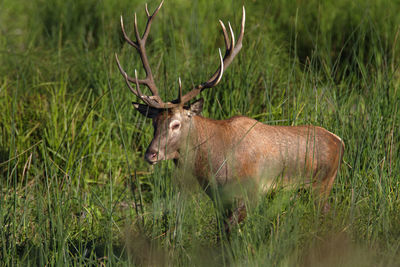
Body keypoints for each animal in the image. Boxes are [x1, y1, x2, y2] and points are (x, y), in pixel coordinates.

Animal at [115, 1, 344, 233]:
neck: (211, 165)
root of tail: (339, 141)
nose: (150, 154)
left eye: (176, 124)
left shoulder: (248, 194)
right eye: (154, 122)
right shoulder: (220, 200)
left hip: (321, 185)